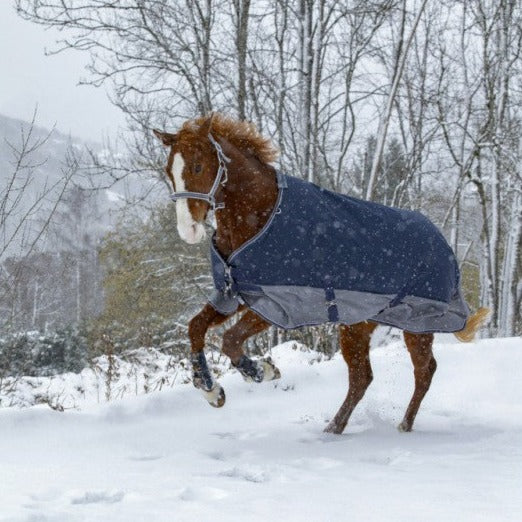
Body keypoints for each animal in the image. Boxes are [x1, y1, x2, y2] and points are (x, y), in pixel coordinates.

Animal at [152, 115, 486, 434]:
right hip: (357, 325)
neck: (259, 216)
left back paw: (403, 424)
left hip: (418, 324)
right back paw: (334, 427)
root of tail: (443, 242)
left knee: (423, 371)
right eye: (169, 170)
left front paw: (263, 371)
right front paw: (211, 389)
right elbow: (195, 328)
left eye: (198, 165)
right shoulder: (233, 293)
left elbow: (231, 340)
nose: (188, 230)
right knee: (362, 378)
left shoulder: (277, 303)